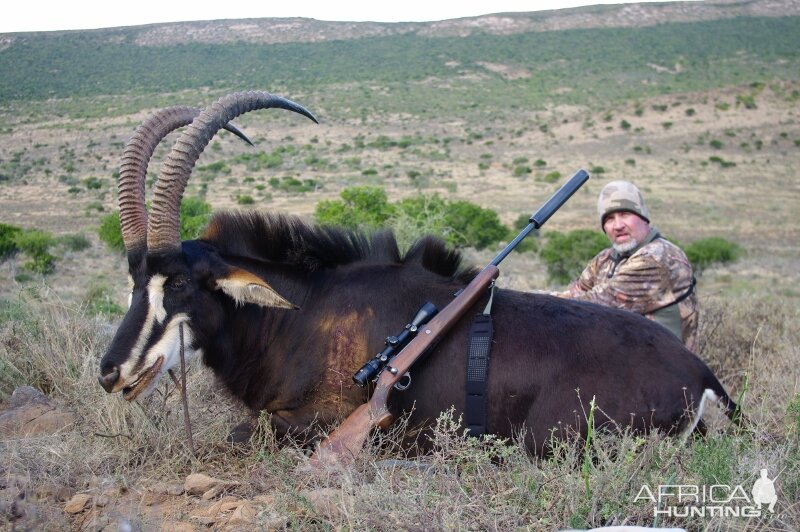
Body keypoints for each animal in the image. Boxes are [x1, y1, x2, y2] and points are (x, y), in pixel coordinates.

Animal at [100, 90, 736, 454]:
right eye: (134, 282)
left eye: (180, 282)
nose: (111, 373)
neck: (302, 313)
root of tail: (705, 379)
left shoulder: (319, 420)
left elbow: (239, 432)